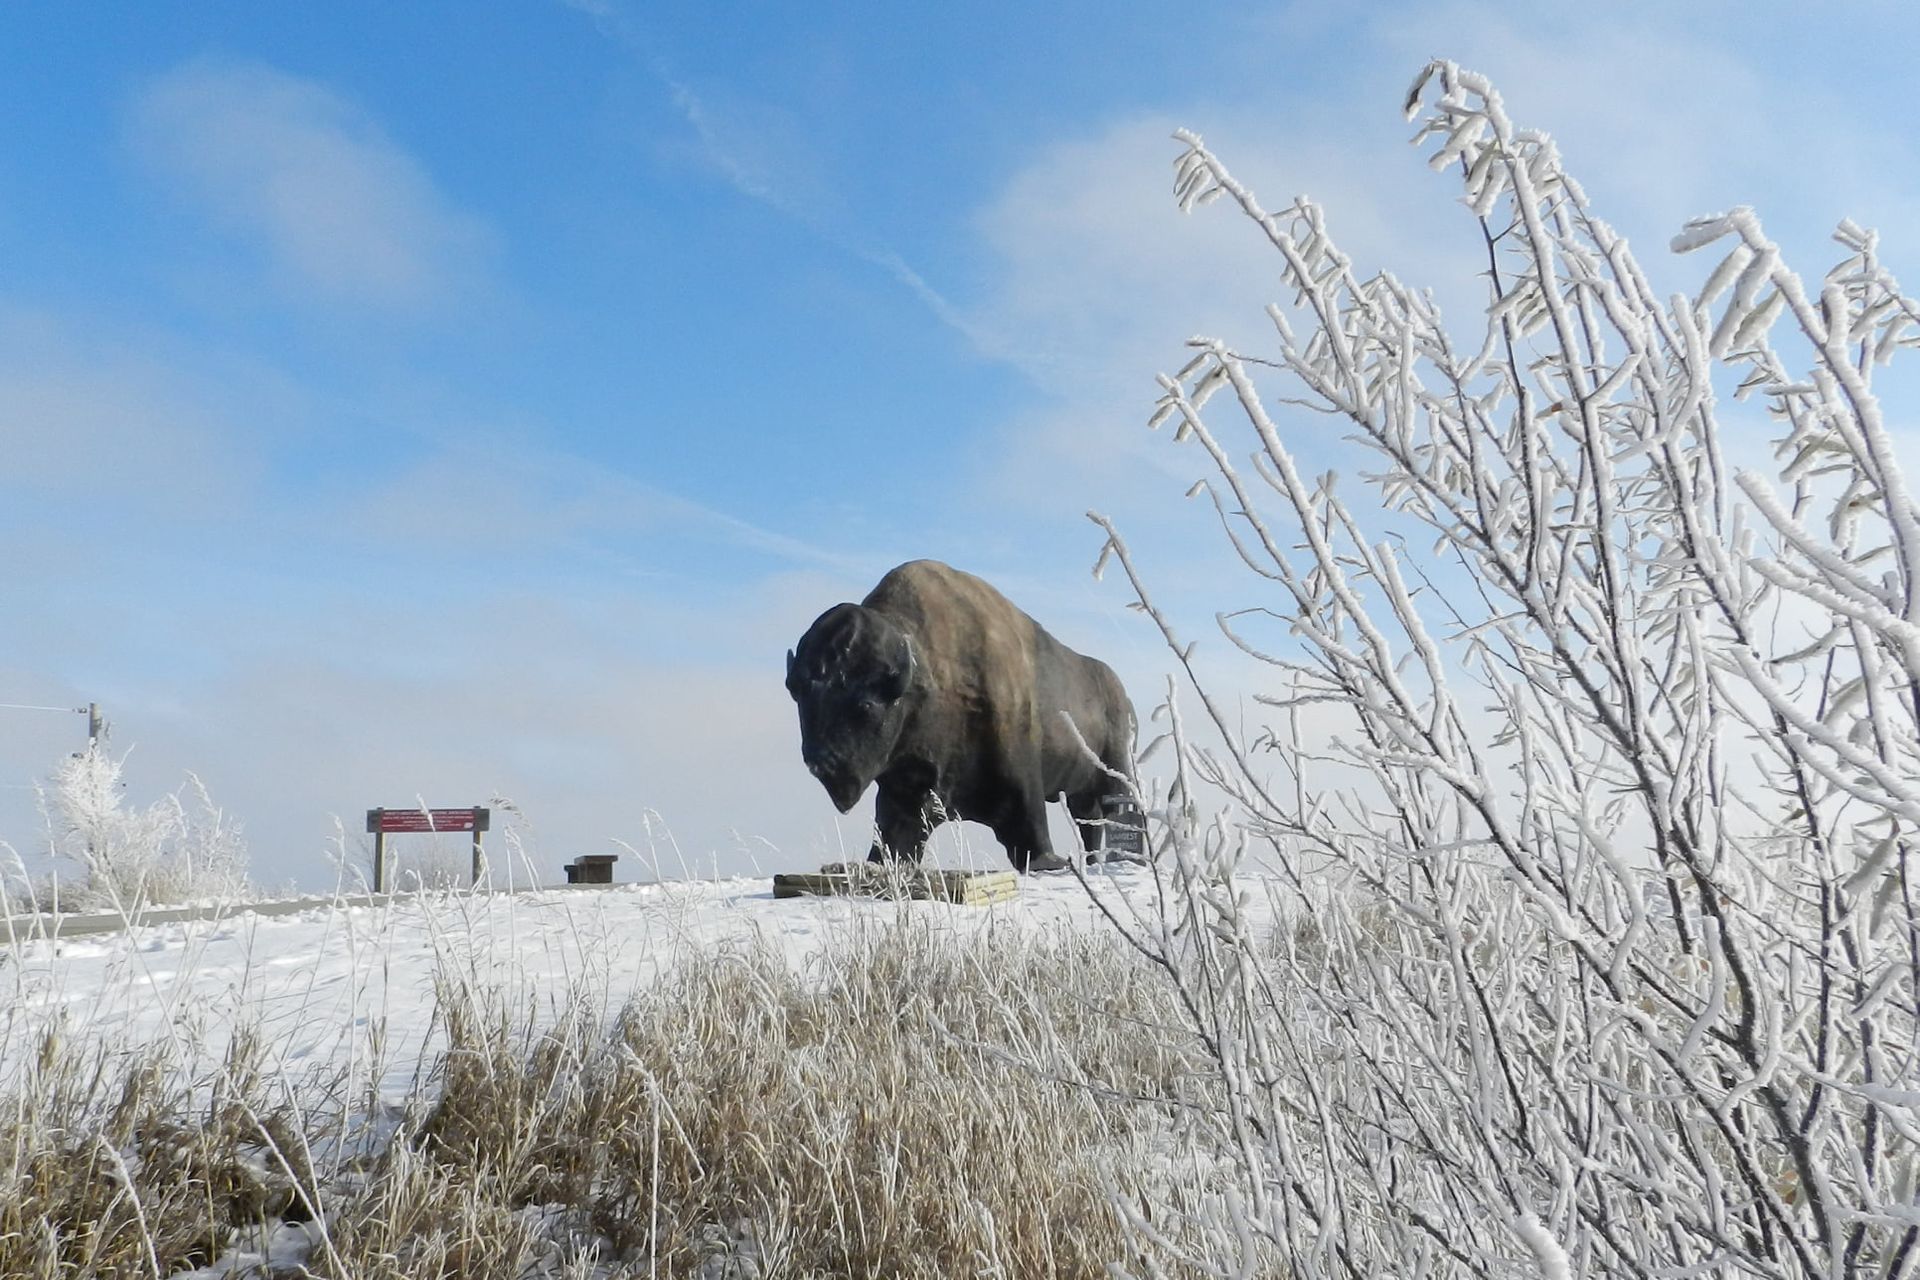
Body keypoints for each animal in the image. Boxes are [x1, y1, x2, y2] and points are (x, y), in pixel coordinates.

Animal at [785, 559, 1140, 872]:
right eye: (799, 696)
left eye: (865, 705)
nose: (821, 761)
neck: (928, 672)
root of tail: (1122, 694)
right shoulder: (905, 788)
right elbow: (893, 831)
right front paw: (877, 863)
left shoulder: (1019, 772)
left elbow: (1029, 822)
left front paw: (1049, 862)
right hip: (1082, 793)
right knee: (1089, 822)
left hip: (1116, 769)